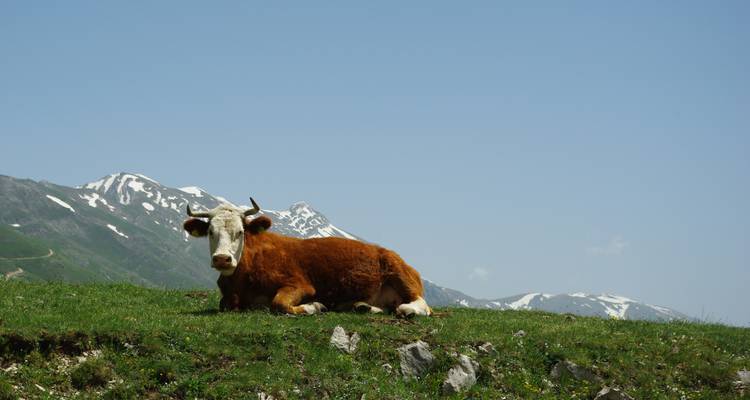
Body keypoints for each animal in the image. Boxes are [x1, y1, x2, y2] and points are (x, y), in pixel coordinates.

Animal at [183, 198, 431, 317]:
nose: (222, 259)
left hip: (398, 272)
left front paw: (314, 307)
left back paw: (407, 310)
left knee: (422, 305)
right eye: (210, 232)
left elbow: (279, 304)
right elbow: (223, 304)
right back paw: (363, 307)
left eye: (241, 232)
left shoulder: (299, 284)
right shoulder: (228, 298)